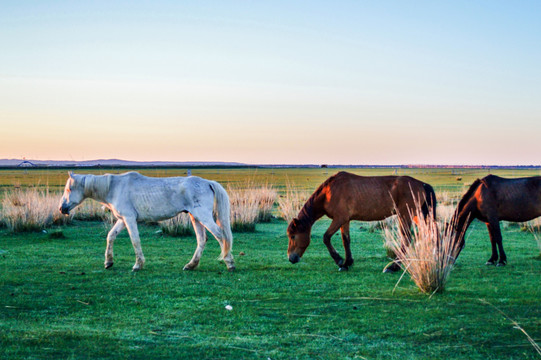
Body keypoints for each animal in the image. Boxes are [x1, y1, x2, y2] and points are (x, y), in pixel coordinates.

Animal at [59, 171, 234, 270]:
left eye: (68, 189)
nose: (62, 208)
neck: (114, 188)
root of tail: (208, 182)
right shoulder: (122, 219)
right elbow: (111, 236)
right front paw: (108, 262)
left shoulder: (129, 219)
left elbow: (135, 240)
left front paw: (138, 265)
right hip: (195, 217)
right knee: (202, 240)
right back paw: (191, 265)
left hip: (203, 216)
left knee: (220, 236)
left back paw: (229, 263)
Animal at [286, 170, 434, 272]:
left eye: (293, 236)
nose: (291, 258)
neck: (329, 193)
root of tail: (421, 184)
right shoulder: (345, 220)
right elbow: (346, 240)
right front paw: (347, 263)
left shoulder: (339, 219)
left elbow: (326, 237)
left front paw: (339, 260)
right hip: (416, 215)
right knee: (429, 232)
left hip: (405, 215)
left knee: (407, 238)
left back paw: (393, 267)